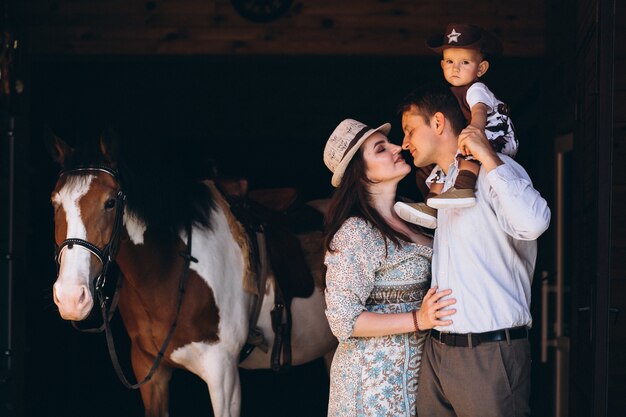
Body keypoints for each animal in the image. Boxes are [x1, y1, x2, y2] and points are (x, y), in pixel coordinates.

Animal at [48, 134, 336, 416]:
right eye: (54, 202)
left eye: (110, 202)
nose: (71, 297)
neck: (168, 273)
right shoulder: (149, 371)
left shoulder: (224, 375)